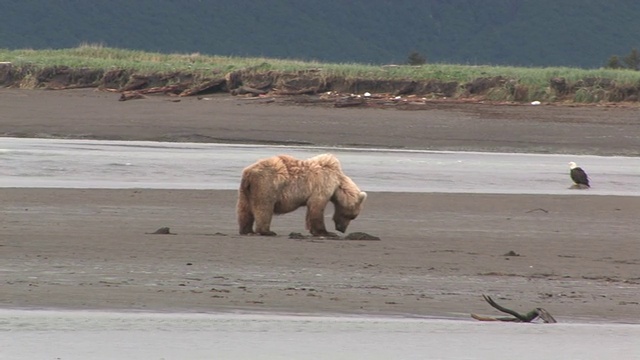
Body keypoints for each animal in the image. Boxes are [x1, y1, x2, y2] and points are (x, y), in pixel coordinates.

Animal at [236, 154, 368, 236]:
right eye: (351, 216)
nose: (341, 229)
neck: (338, 183)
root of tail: (249, 173)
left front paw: (313, 230)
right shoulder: (322, 185)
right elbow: (317, 208)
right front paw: (326, 232)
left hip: (245, 190)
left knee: (244, 209)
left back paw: (246, 230)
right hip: (266, 185)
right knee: (264, 208)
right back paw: (267, 231)